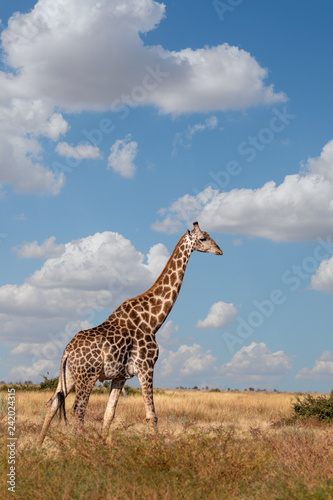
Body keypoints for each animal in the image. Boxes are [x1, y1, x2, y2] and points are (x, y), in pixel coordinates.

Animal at [38, 221, 220, 444]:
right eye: (203, 238)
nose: (219, 251)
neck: (153, 320)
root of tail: (67, 352)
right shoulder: (146, 366)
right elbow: (152, 415)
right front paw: (157, 448)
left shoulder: (121, 376)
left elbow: (109, 414)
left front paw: (104, 445)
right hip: (87, 375)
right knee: (77, 409)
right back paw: (82, 447)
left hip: (69, 375)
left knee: (52, 403)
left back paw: (38, 446)